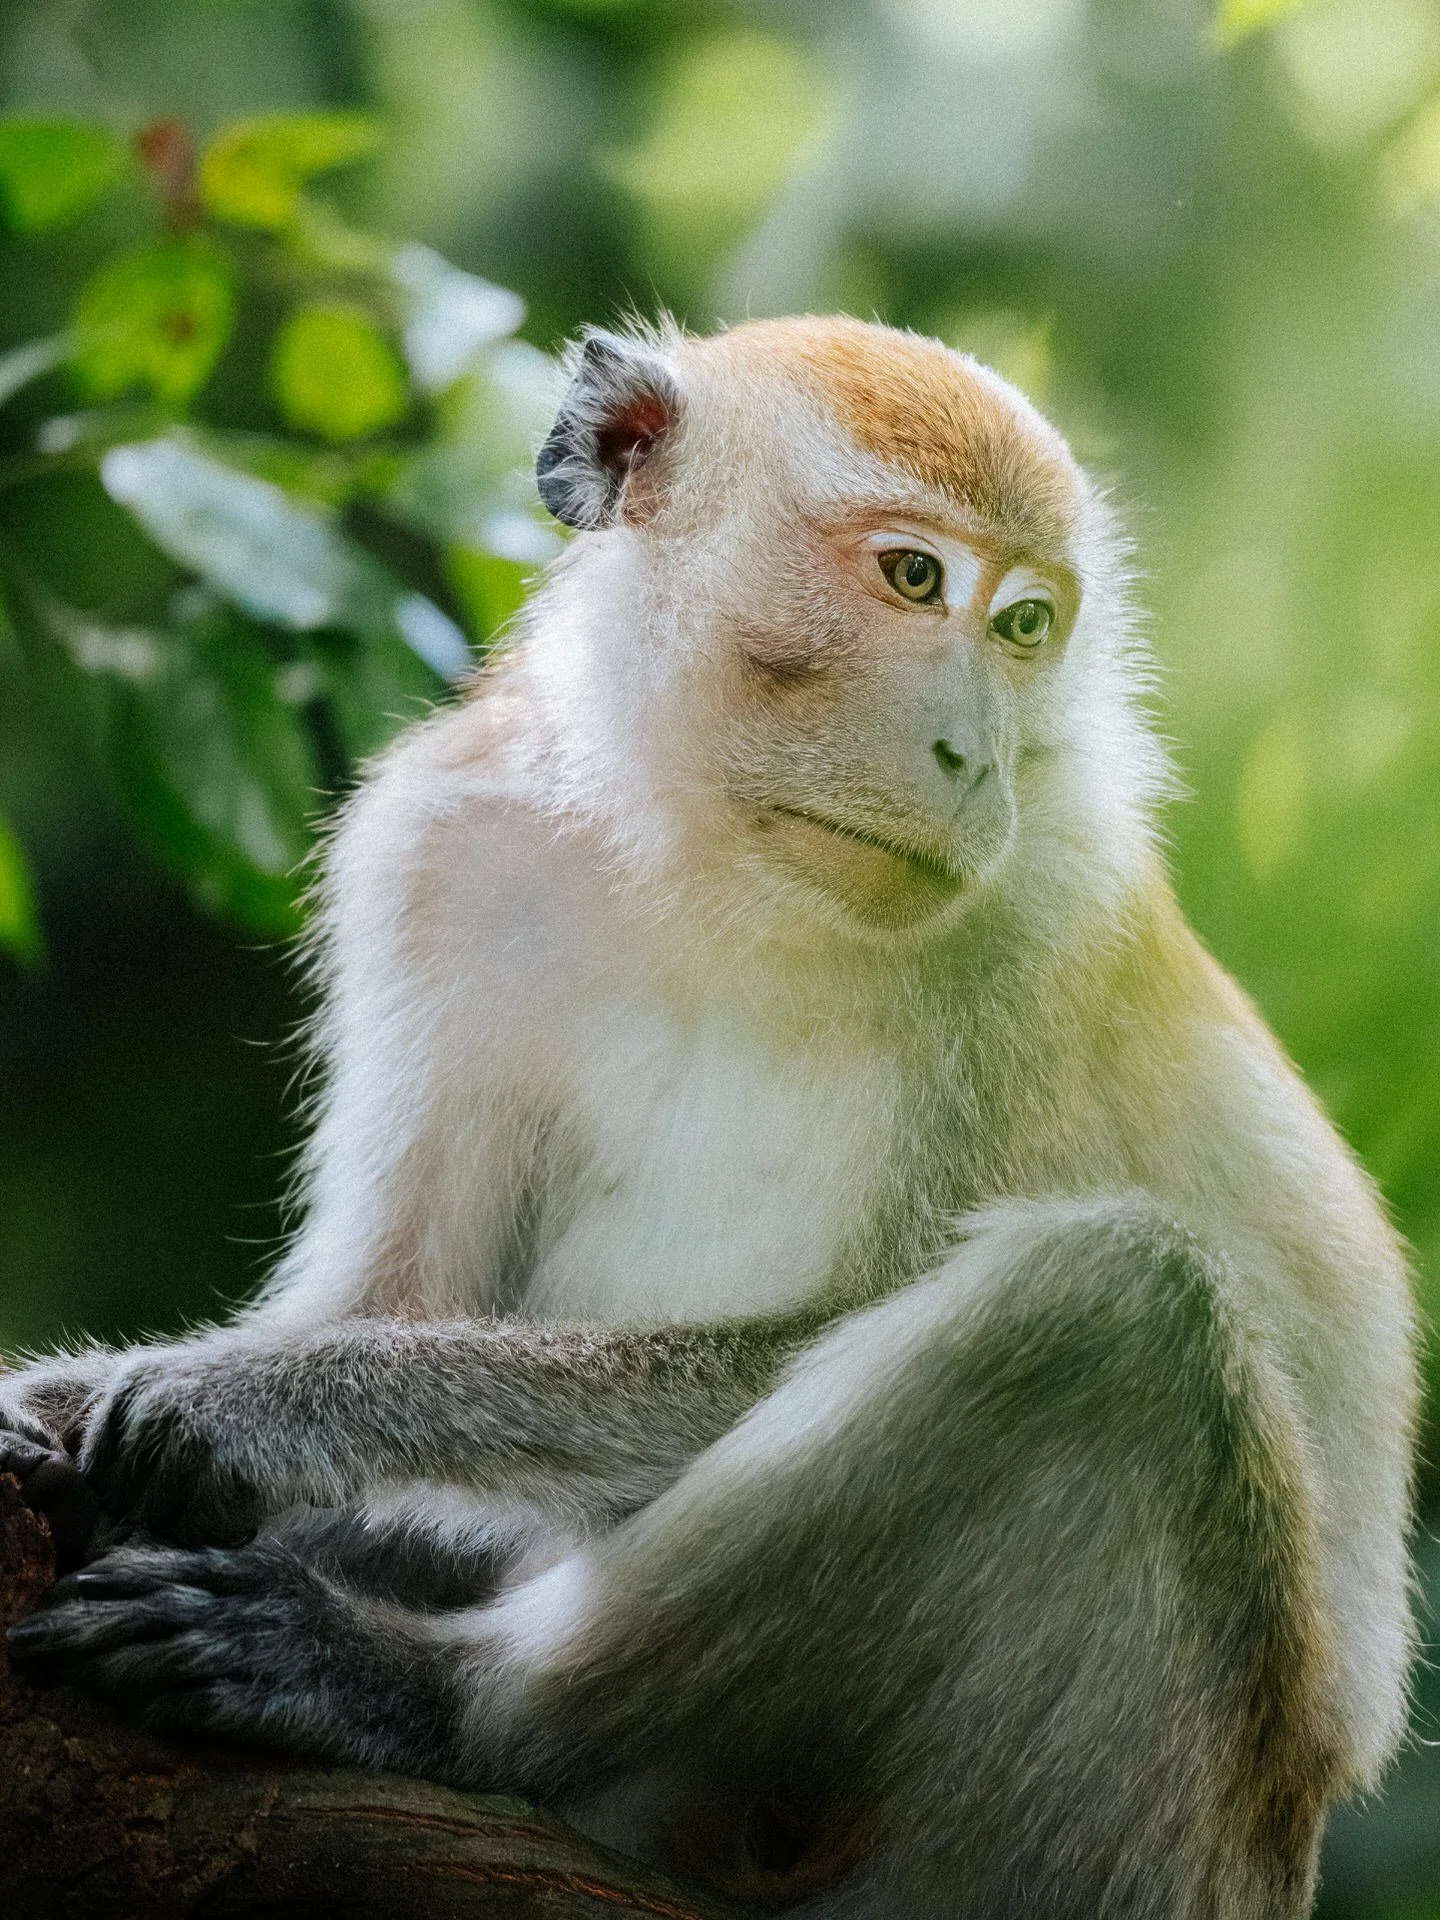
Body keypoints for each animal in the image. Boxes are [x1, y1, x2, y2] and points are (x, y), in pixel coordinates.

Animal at [0, 315, 1417, 1917]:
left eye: (1024, 627)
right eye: (914, 578)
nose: (975, 759)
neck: (722, 880)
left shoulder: (1048, 913)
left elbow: (819, 1330)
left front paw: (250, 1408)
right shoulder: (440, 846)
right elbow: (395, 1286)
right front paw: (65, 1414)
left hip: (1111, 1830)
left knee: (1112, 1309)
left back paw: (432, 1697)